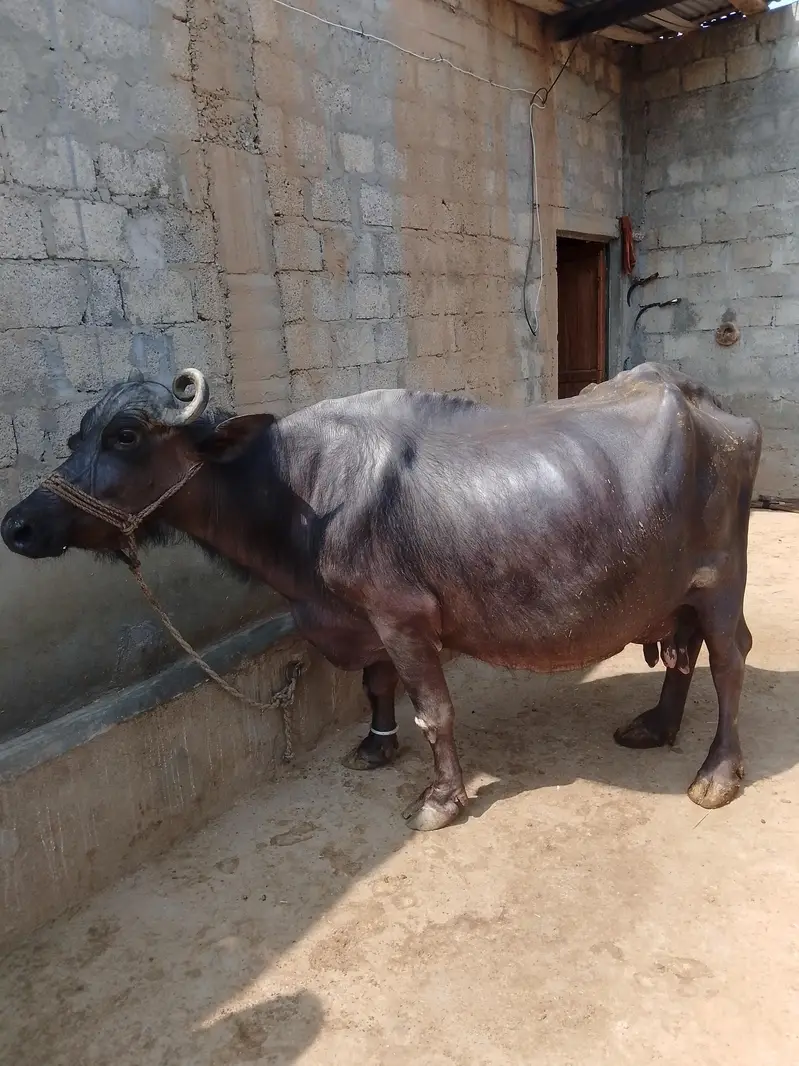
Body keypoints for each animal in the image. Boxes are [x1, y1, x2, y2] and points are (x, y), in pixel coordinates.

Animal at [2, 362, 762, 831]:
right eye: (75, 437)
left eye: (126, 435)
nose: (19, 525)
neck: (300, 491)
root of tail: (718, 411)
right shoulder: (360, 617)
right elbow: (375, 685)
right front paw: (374, 746)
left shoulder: (404, 618)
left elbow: (435, 710)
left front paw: (440, 799)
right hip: (675, 590)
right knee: (682, 654)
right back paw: (655, 726)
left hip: (723, 583)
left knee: (728, 662)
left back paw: (717, 773)